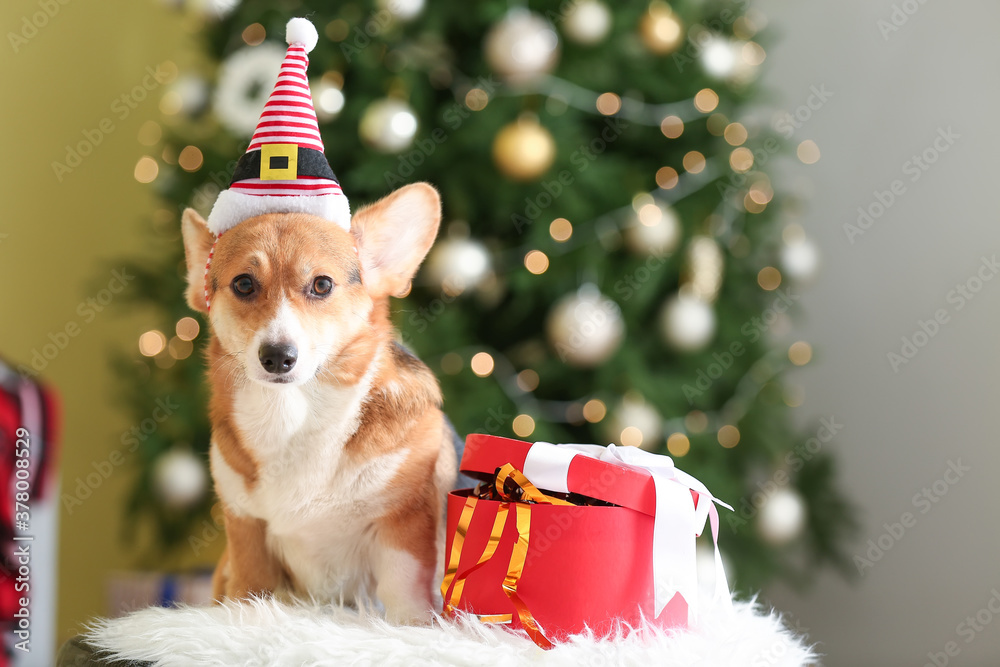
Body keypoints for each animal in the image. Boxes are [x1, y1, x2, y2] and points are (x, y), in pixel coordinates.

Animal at [181, 180, 458, 624]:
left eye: (322, 285)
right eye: (244, 284)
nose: (278, 356)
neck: (293, 415)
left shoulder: (404, 523)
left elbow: (404, 593)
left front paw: (411, 627)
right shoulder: (246, 528)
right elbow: (249, 590)